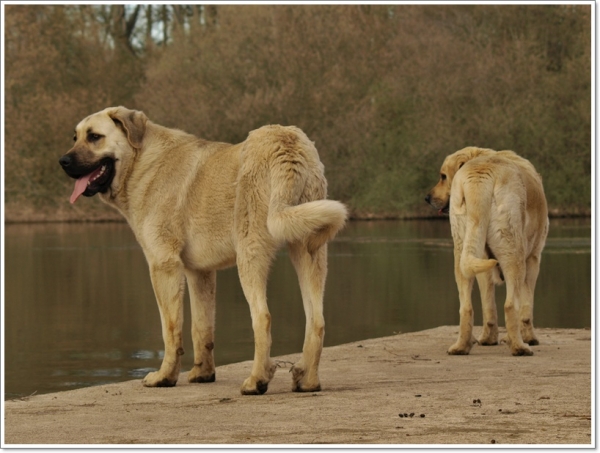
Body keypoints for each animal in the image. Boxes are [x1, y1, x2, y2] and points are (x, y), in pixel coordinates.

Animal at [57, 105, 346, 392]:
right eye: (75, 137)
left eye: (94, 137)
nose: (63, 161)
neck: (141, 163)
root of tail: (287, 143)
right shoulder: (200, 272)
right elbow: (201, 328)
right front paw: (203, 373)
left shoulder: (163, 265)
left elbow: (170, 329)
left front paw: (165, 377)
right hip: (308, 250)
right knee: (316, 320)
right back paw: (308, 380)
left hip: (250, 253)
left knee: (263, 317)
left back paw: (257, 380)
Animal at [426, 147, 548, 354]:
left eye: (443, 176)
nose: (426, 198)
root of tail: (480, 177)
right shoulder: (533, 259)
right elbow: (526, 307)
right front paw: (530, 338)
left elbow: (488, 305)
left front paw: (490, 339)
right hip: (513, 254)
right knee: (510, 305)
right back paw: (520, 347)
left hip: (463, 254)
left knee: (466, 307)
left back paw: (462, 346)